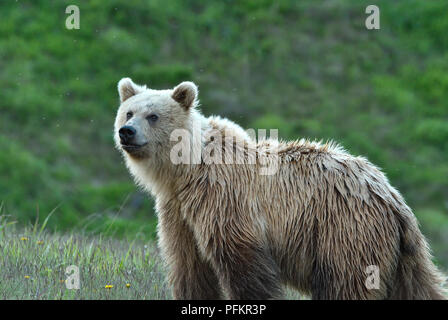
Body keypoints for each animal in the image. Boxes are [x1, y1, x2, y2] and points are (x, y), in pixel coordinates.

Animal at [114, 77, 446, 300]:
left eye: (153, 116)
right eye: (129, 112)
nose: (126, 132)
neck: (186, 172)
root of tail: (392, 196)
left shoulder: (226, 200)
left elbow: (244, 267)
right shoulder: (179, 213)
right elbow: (189, 267)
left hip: (345, 232)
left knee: (347, 285)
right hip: (395, 251)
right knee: (418, 286)